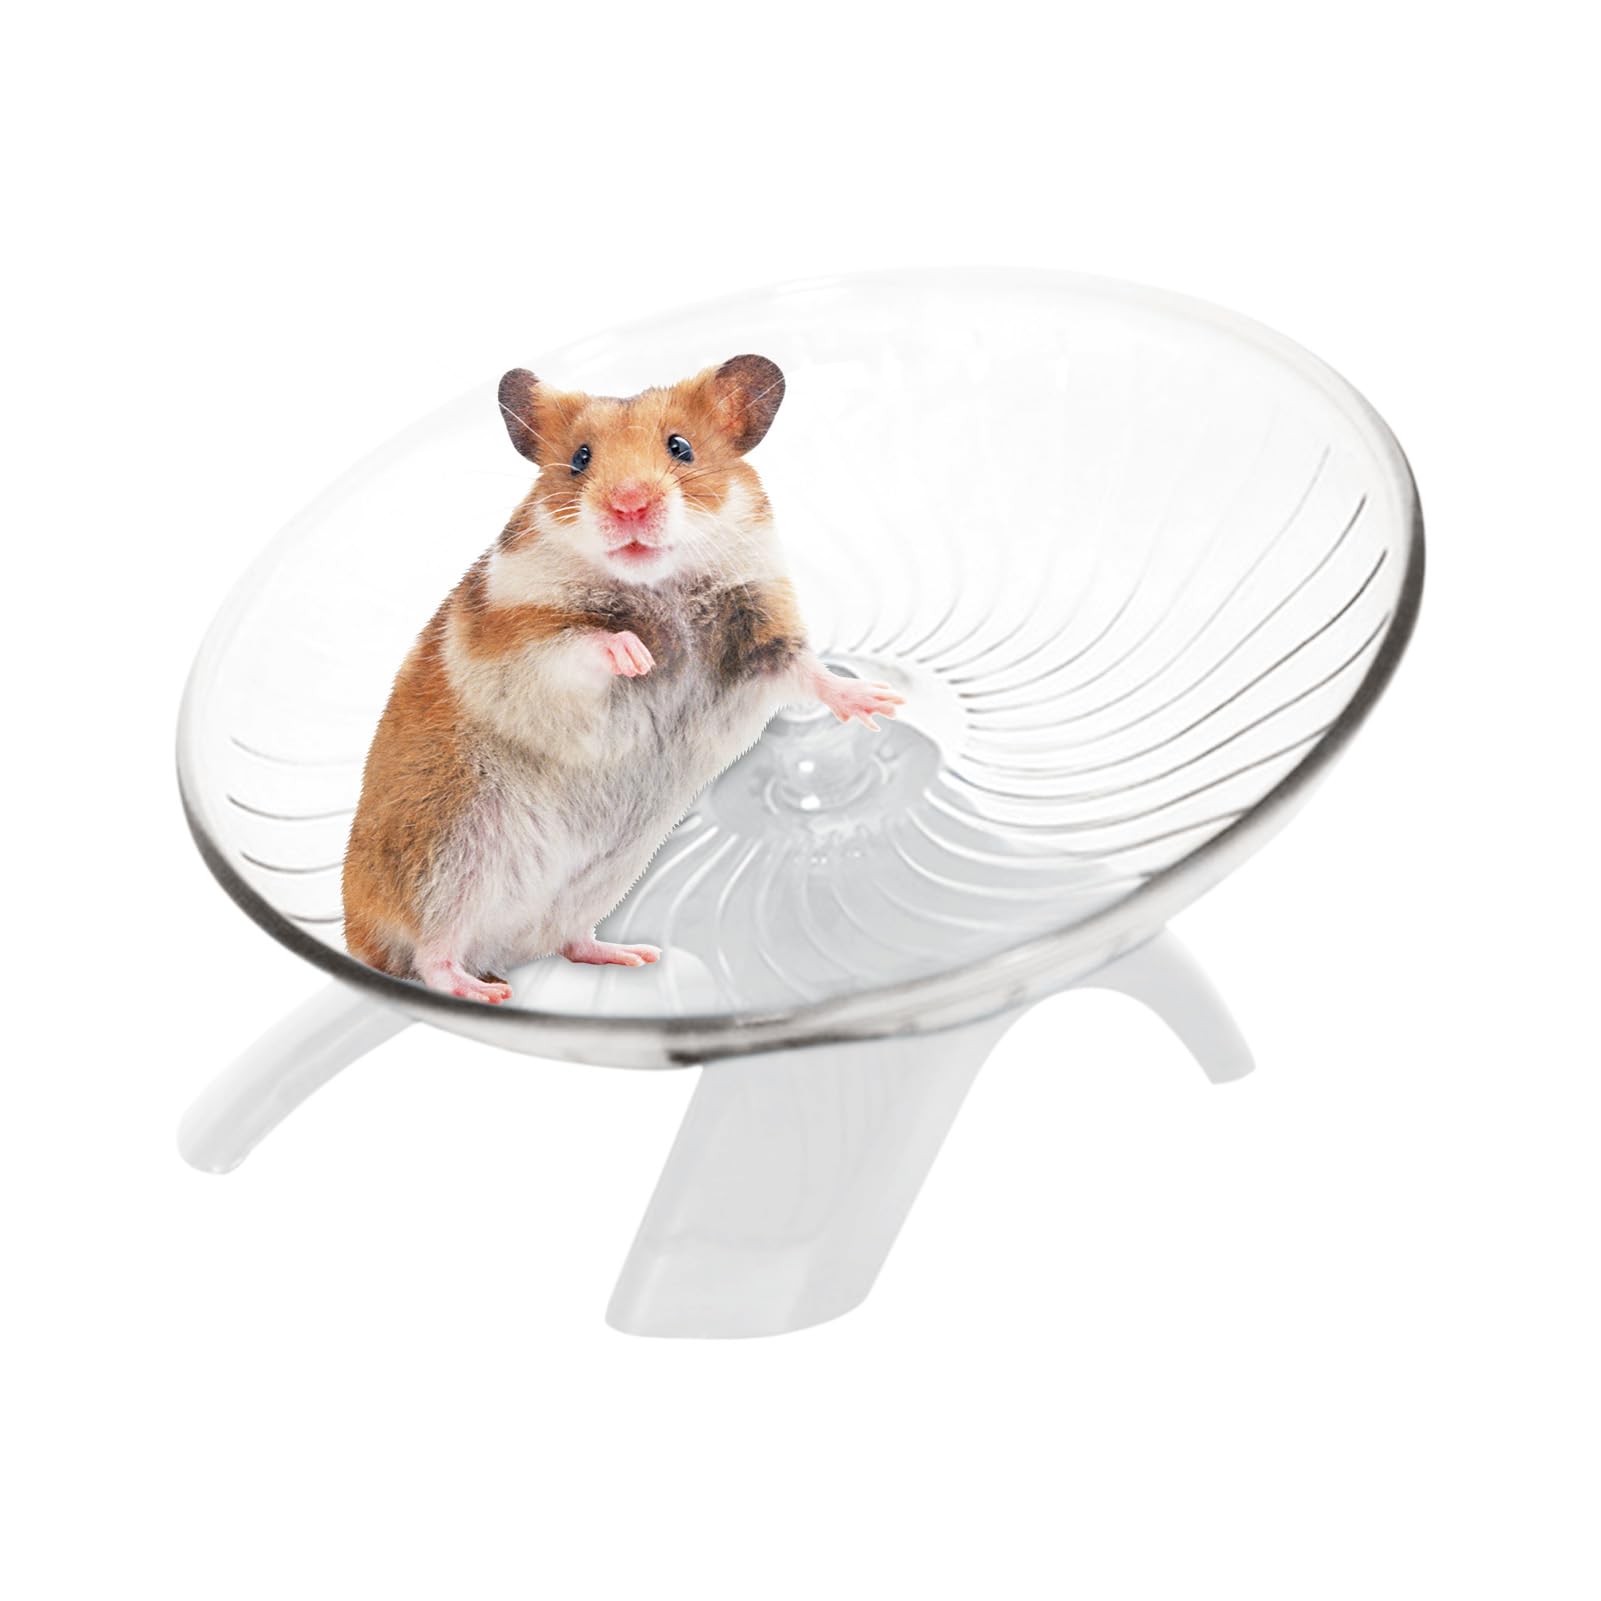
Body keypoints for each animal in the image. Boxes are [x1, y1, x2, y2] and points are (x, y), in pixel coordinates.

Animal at [341, 354, 903, 1004]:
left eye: (681, 447)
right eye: (580, 458)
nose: (629, 505)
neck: (658, 583)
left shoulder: (762, 633)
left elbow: (809, 672)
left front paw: (882, 703)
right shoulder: (519, 641)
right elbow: (583, 643)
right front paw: (638, 656)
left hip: (596, 879)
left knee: (566, 941)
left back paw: (633, 955)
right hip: (447, 857)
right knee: (431, 954)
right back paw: (485, 992)